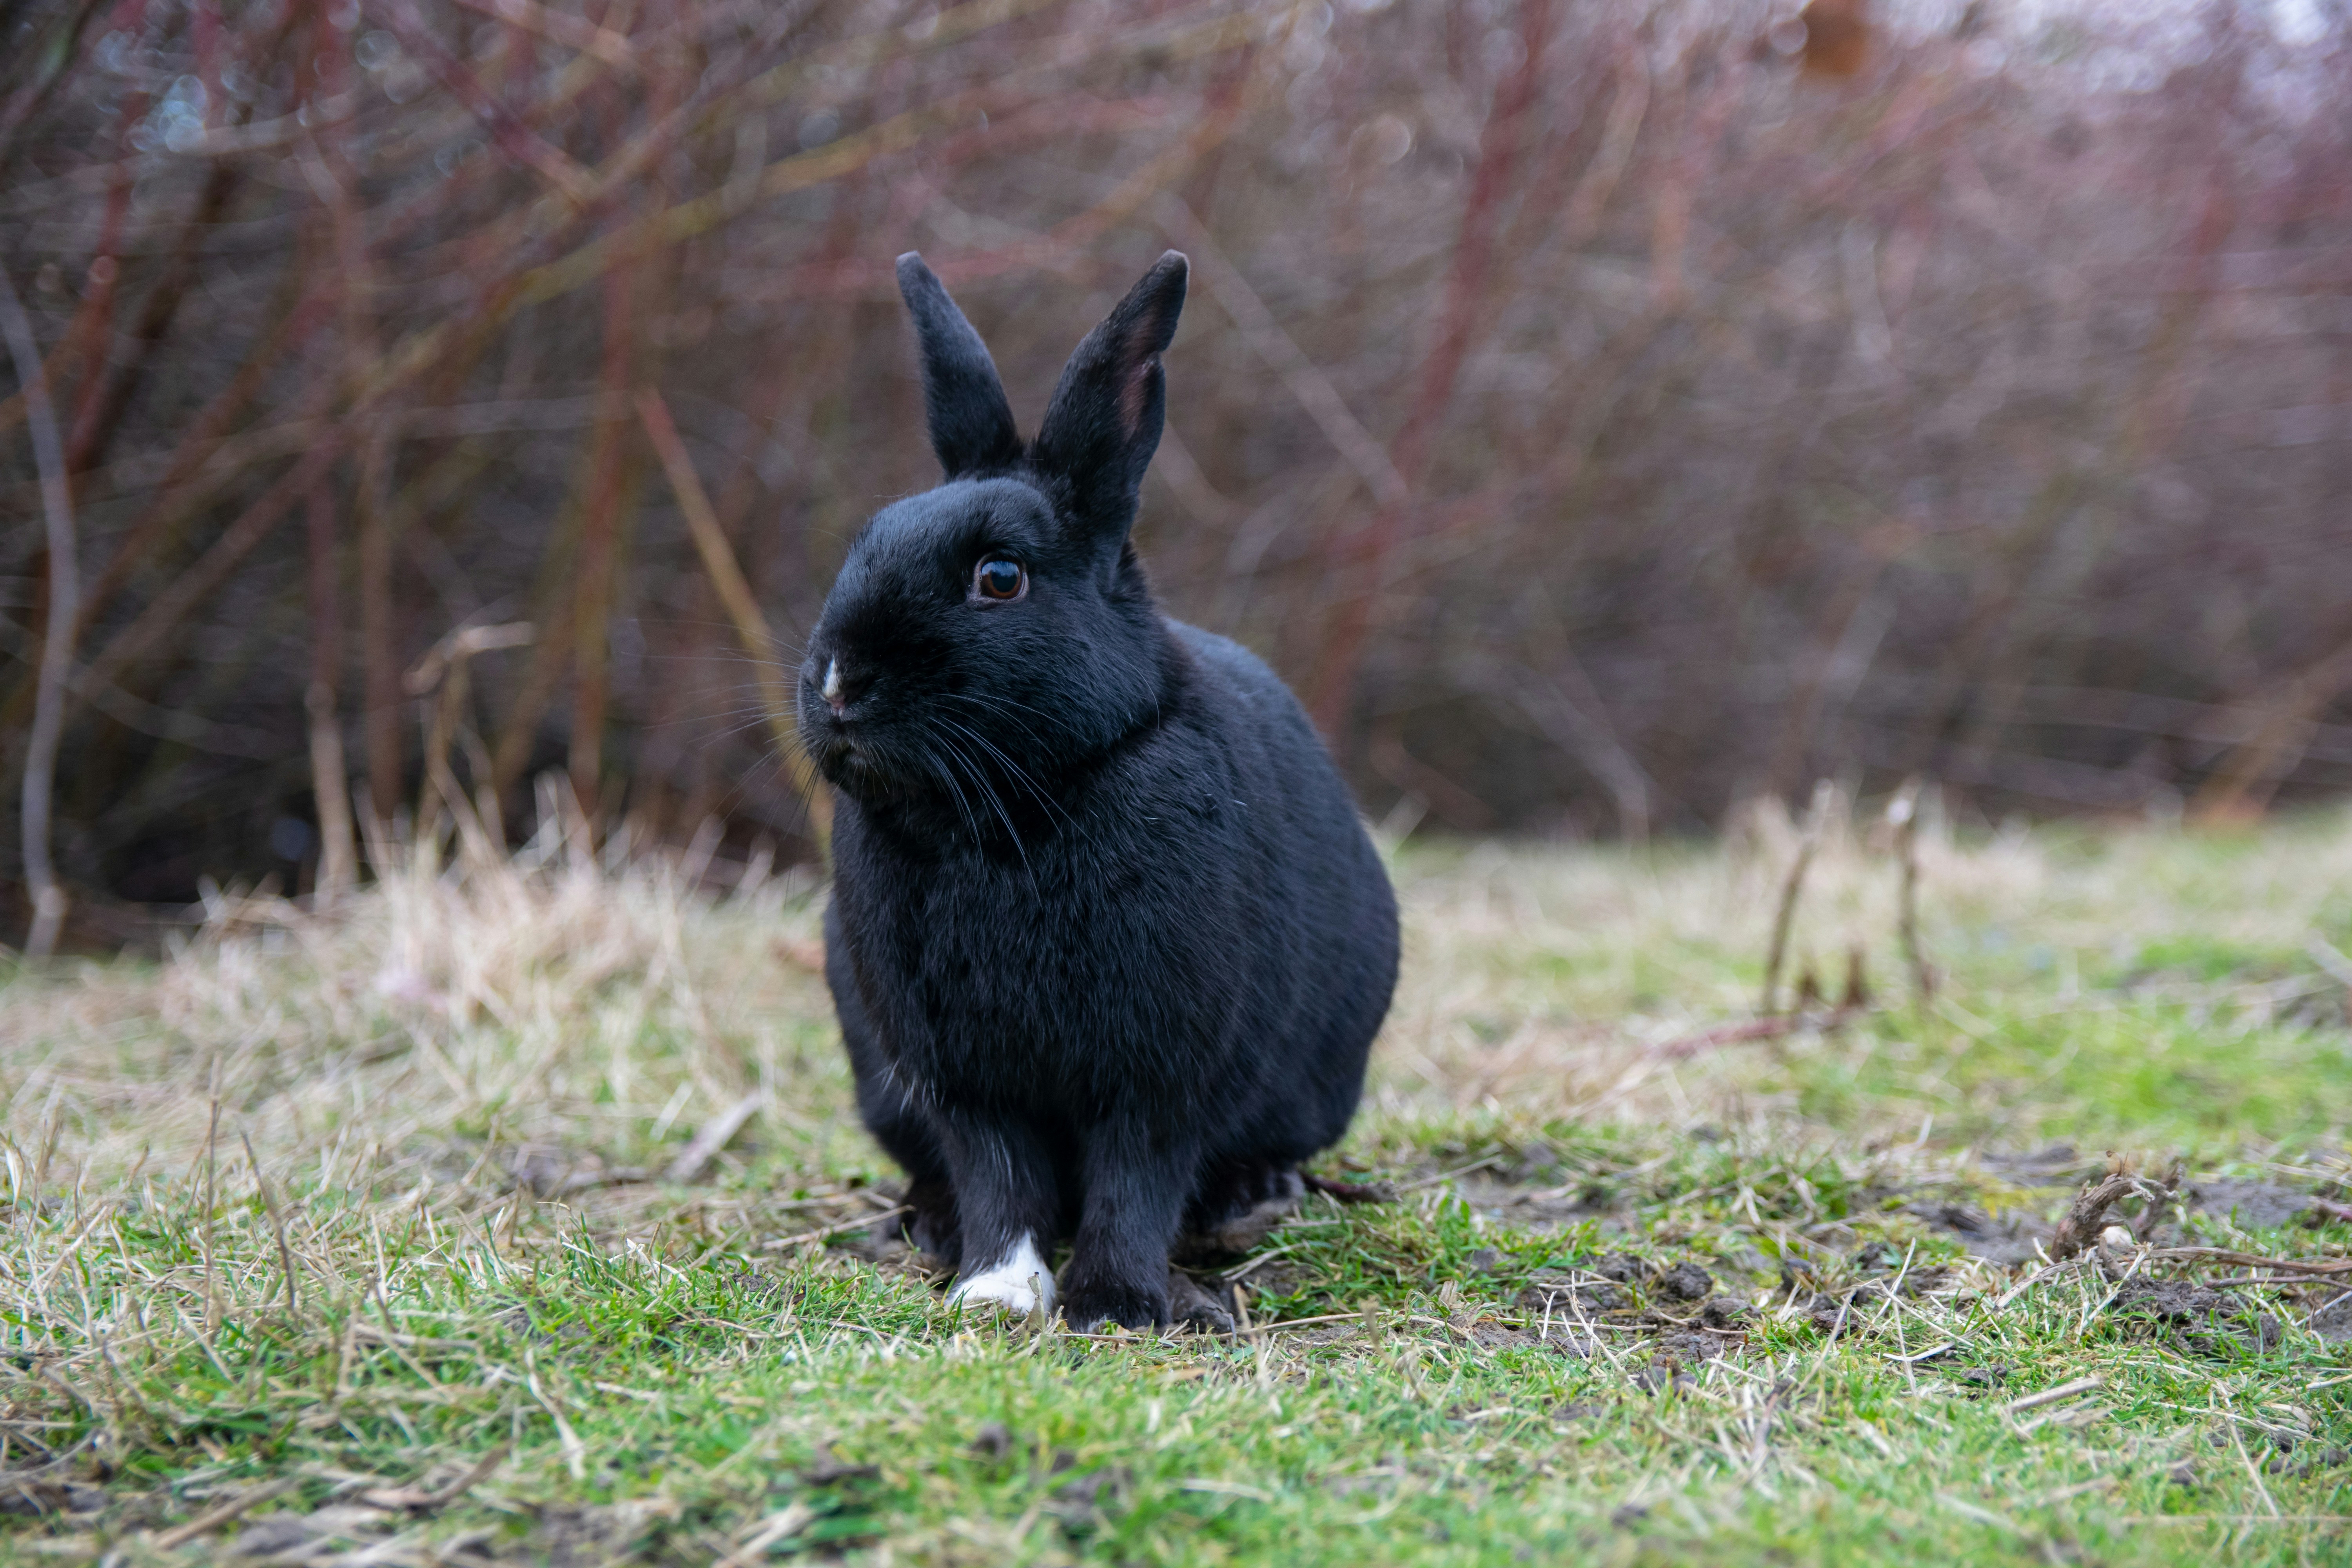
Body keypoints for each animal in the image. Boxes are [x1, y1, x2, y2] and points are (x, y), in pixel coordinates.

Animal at [798, 250, 1399, 1332]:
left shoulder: (1161, 1068)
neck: (1010, 809)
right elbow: (1000, 1176)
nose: (838, 684)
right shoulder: (962, 1075)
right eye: (864, 540)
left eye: (1000, 577)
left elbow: (1136, 1177)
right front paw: (996, 1289)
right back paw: (927, 1225)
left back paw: (1248, 1202)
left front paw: (1117, 1303)